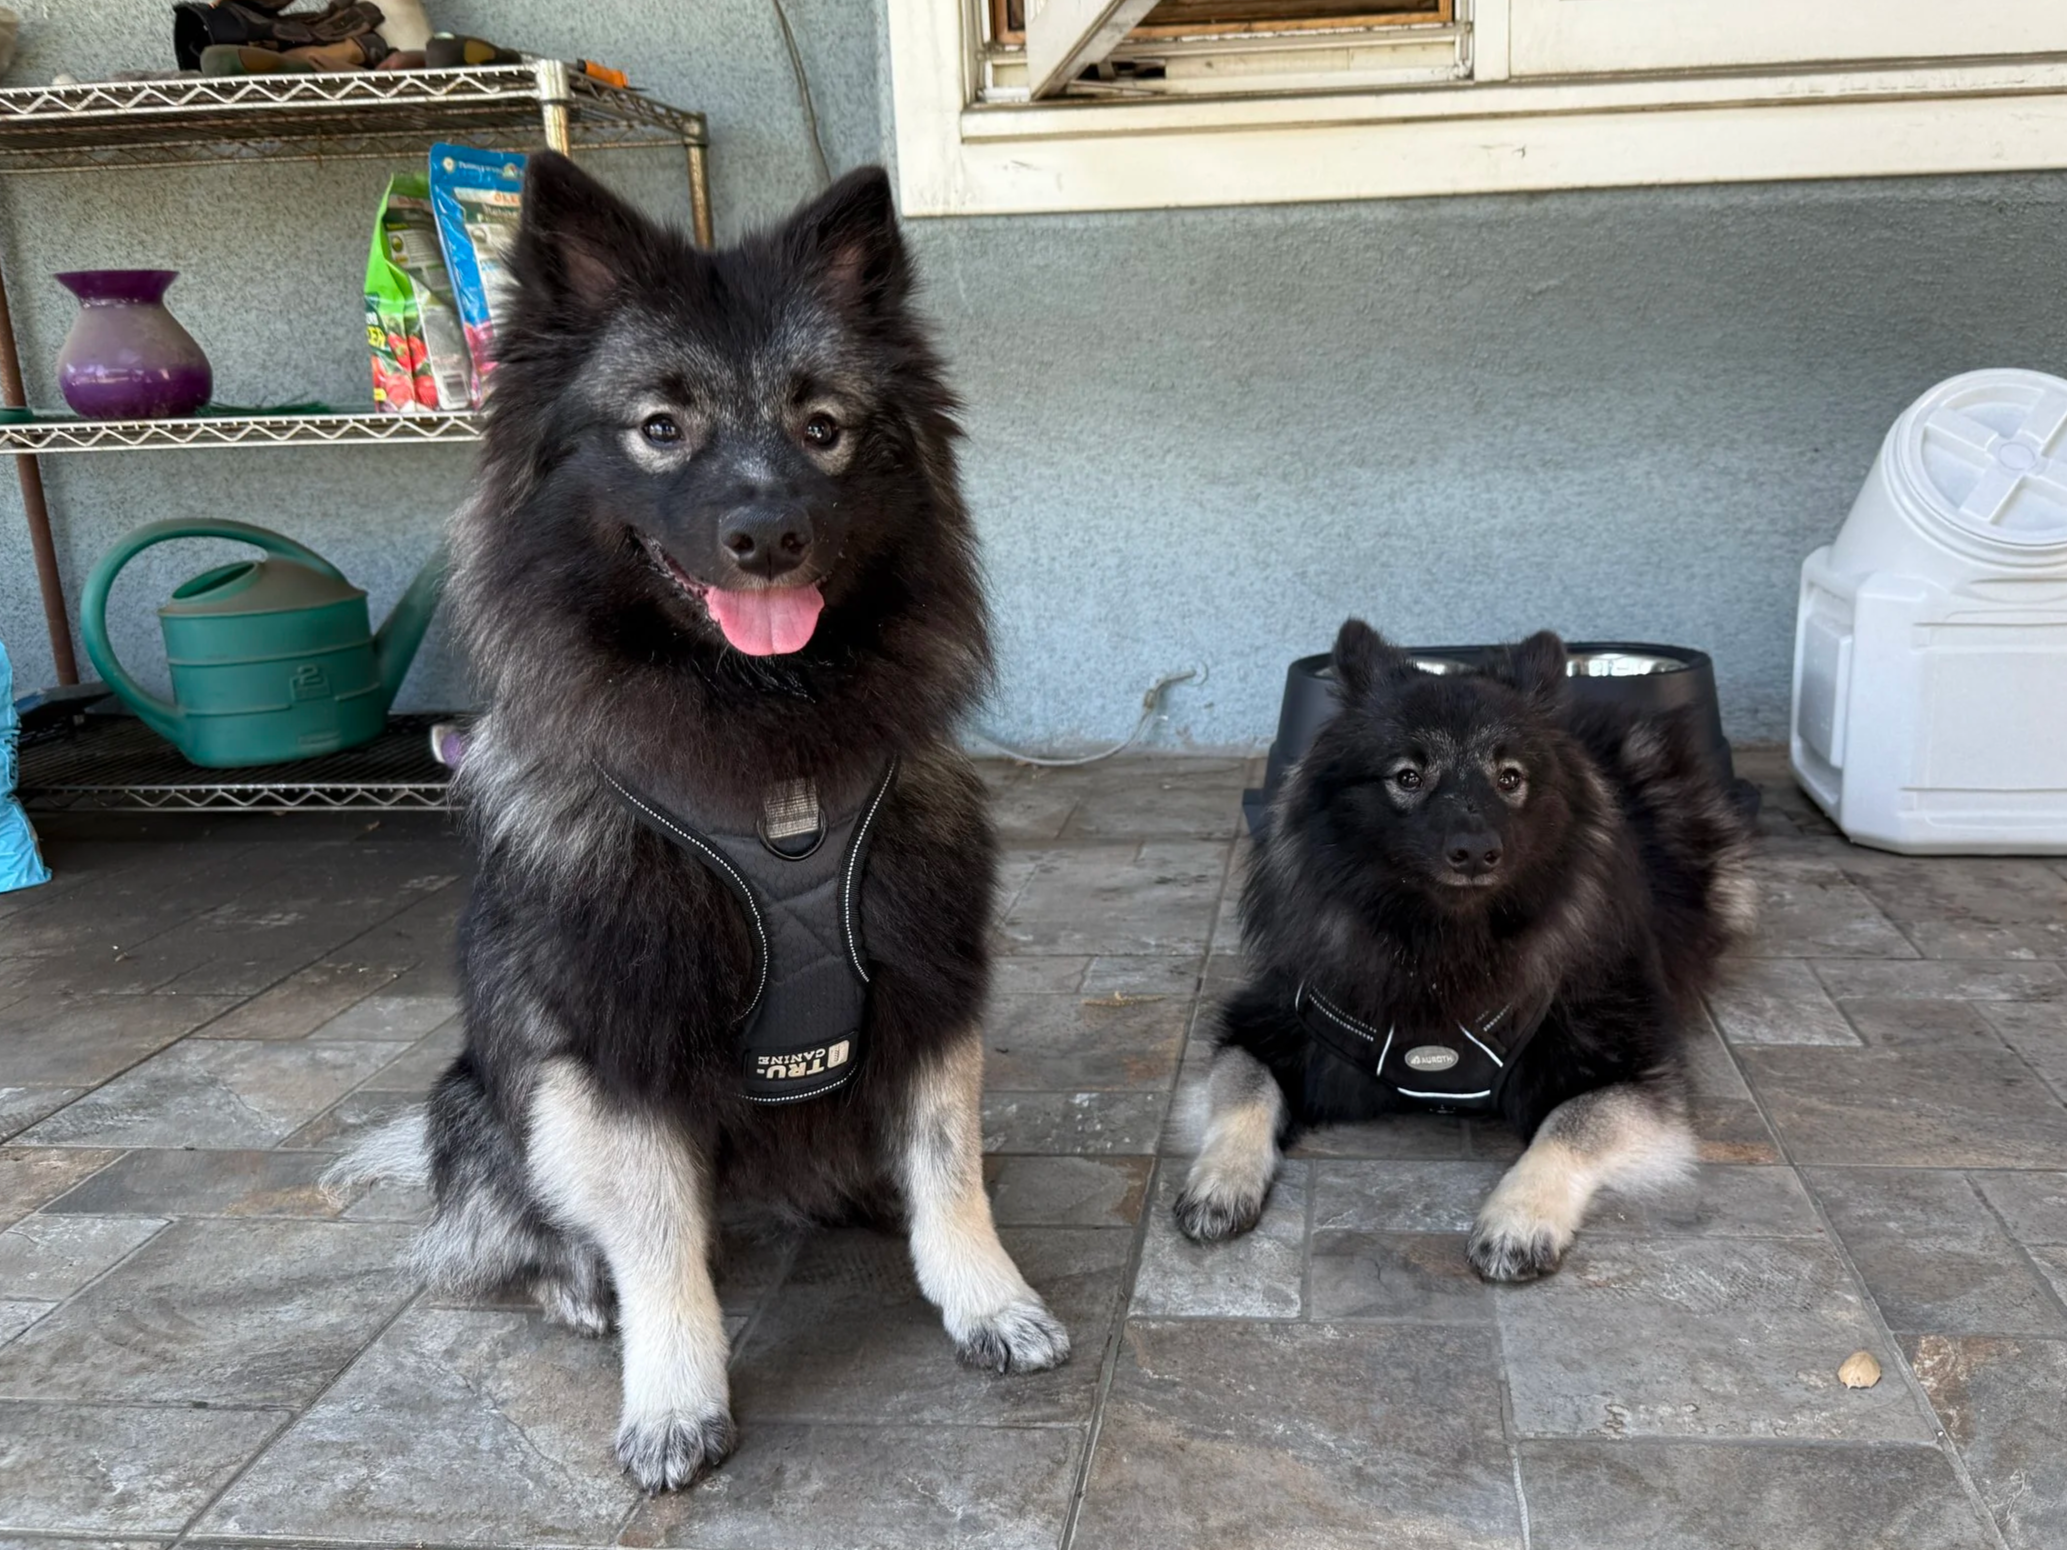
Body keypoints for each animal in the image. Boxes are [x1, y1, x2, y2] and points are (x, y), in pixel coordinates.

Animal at [329, 153, 1067, 1492]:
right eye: (660, 429)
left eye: (822, 427)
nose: (767, 534)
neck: (765, 743)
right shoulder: (620, 1047)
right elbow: (660, 1241)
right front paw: (675, 1396)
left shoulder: (929, 984)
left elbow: (951, 1173)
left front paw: (986, 1300)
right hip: (490, 1099)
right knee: (527, 1230)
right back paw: (578, 1283)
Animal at [1178, 620, 1754, 1280]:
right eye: (1408, 776)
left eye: (1509, 778)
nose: (1476, 851)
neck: (1441, 941)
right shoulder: (1273, 1024)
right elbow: (1245, 1089)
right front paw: (1221, 1181)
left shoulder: (1627, 1071)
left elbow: (1569, 1124)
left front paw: (1518, 1218)